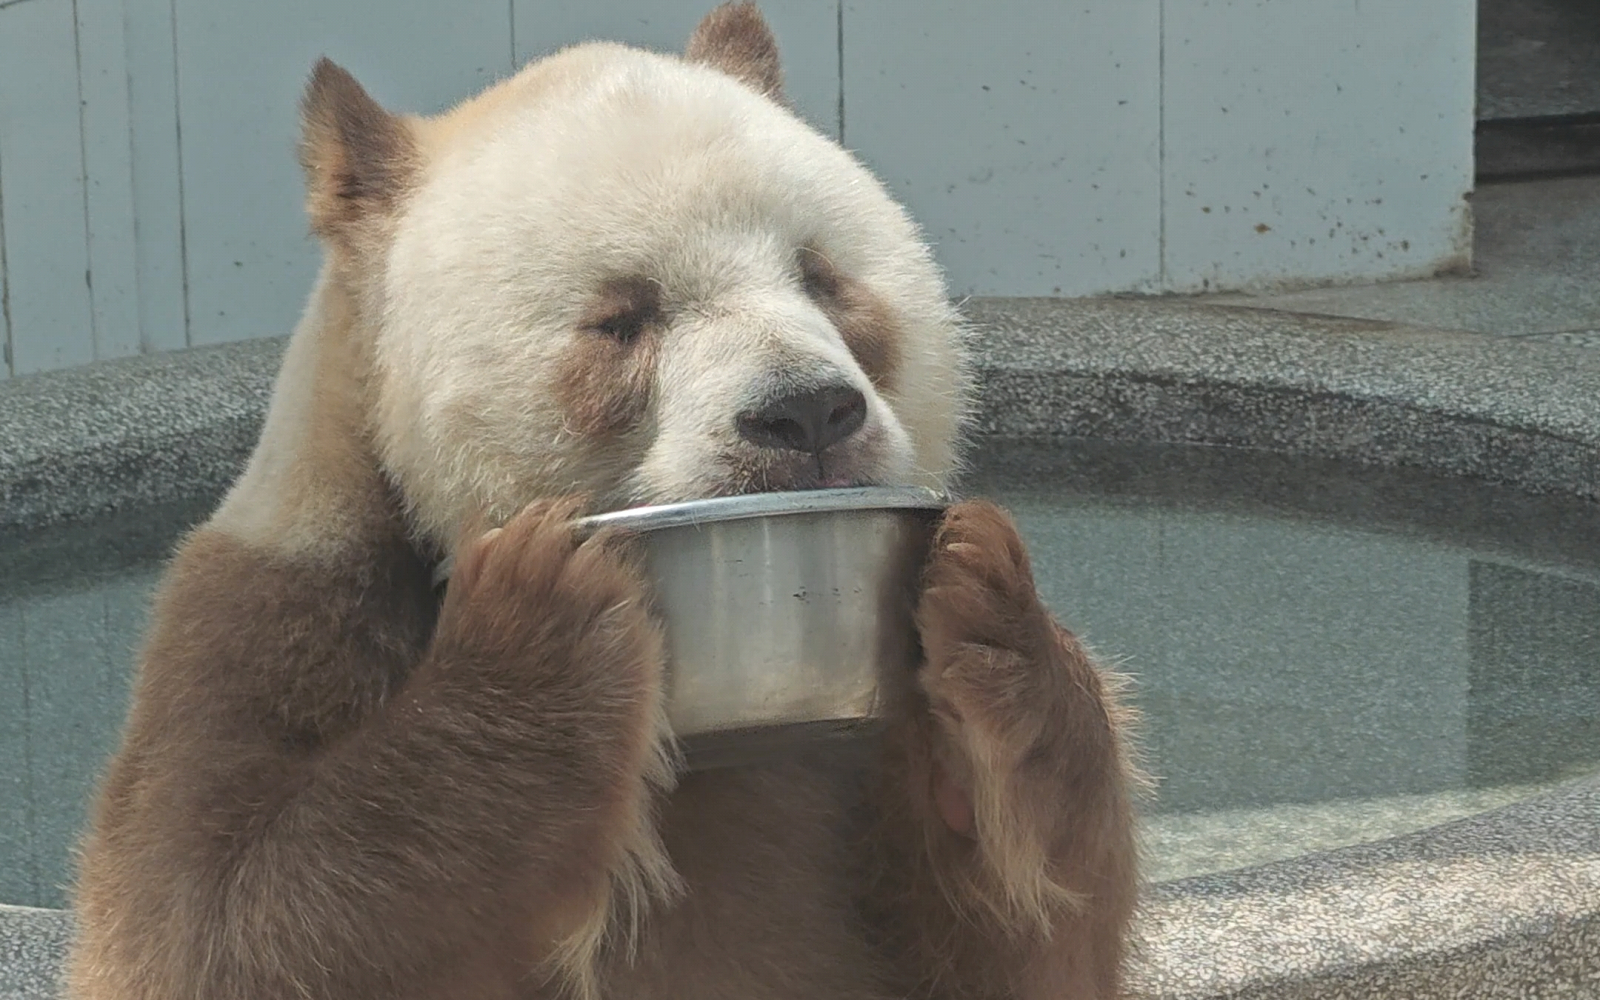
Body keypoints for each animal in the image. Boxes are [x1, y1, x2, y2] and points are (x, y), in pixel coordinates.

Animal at [64, 5, 1140, 999]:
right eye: (622, 317)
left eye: (824, 279)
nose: (806, 413)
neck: (717, 758)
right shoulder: (283, 606)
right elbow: (214, 919)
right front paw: (542, 624)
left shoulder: (844, 785)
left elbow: (1025, 954)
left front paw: (988, 610)